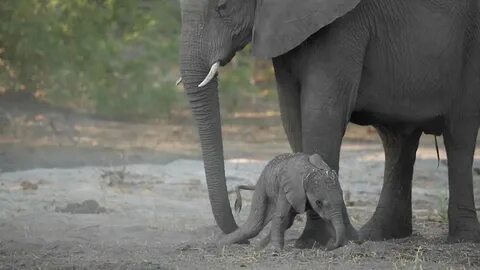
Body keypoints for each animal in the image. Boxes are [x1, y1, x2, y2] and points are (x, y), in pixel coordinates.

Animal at [218, 153, 356, 252]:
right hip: (263, 186)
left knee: (287, 222)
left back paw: (259, 248)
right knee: (254, 226)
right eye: (318, 203)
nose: (327, 246)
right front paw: (277, 251)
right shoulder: (287, 187)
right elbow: (280, 216)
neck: (310, 170)